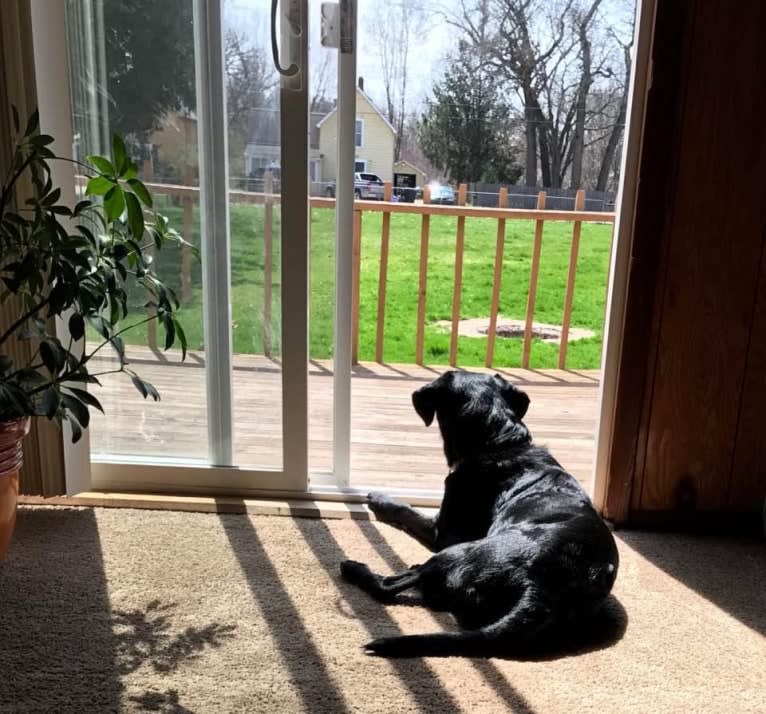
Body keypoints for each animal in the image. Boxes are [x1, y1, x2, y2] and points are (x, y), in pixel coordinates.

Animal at [340, 372, 616, 656]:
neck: (499, 442)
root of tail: (541, 594)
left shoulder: (444, 534)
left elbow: (406, 511)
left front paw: (379, 498)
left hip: (458, 551)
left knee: (389, 587)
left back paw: (354, 568)